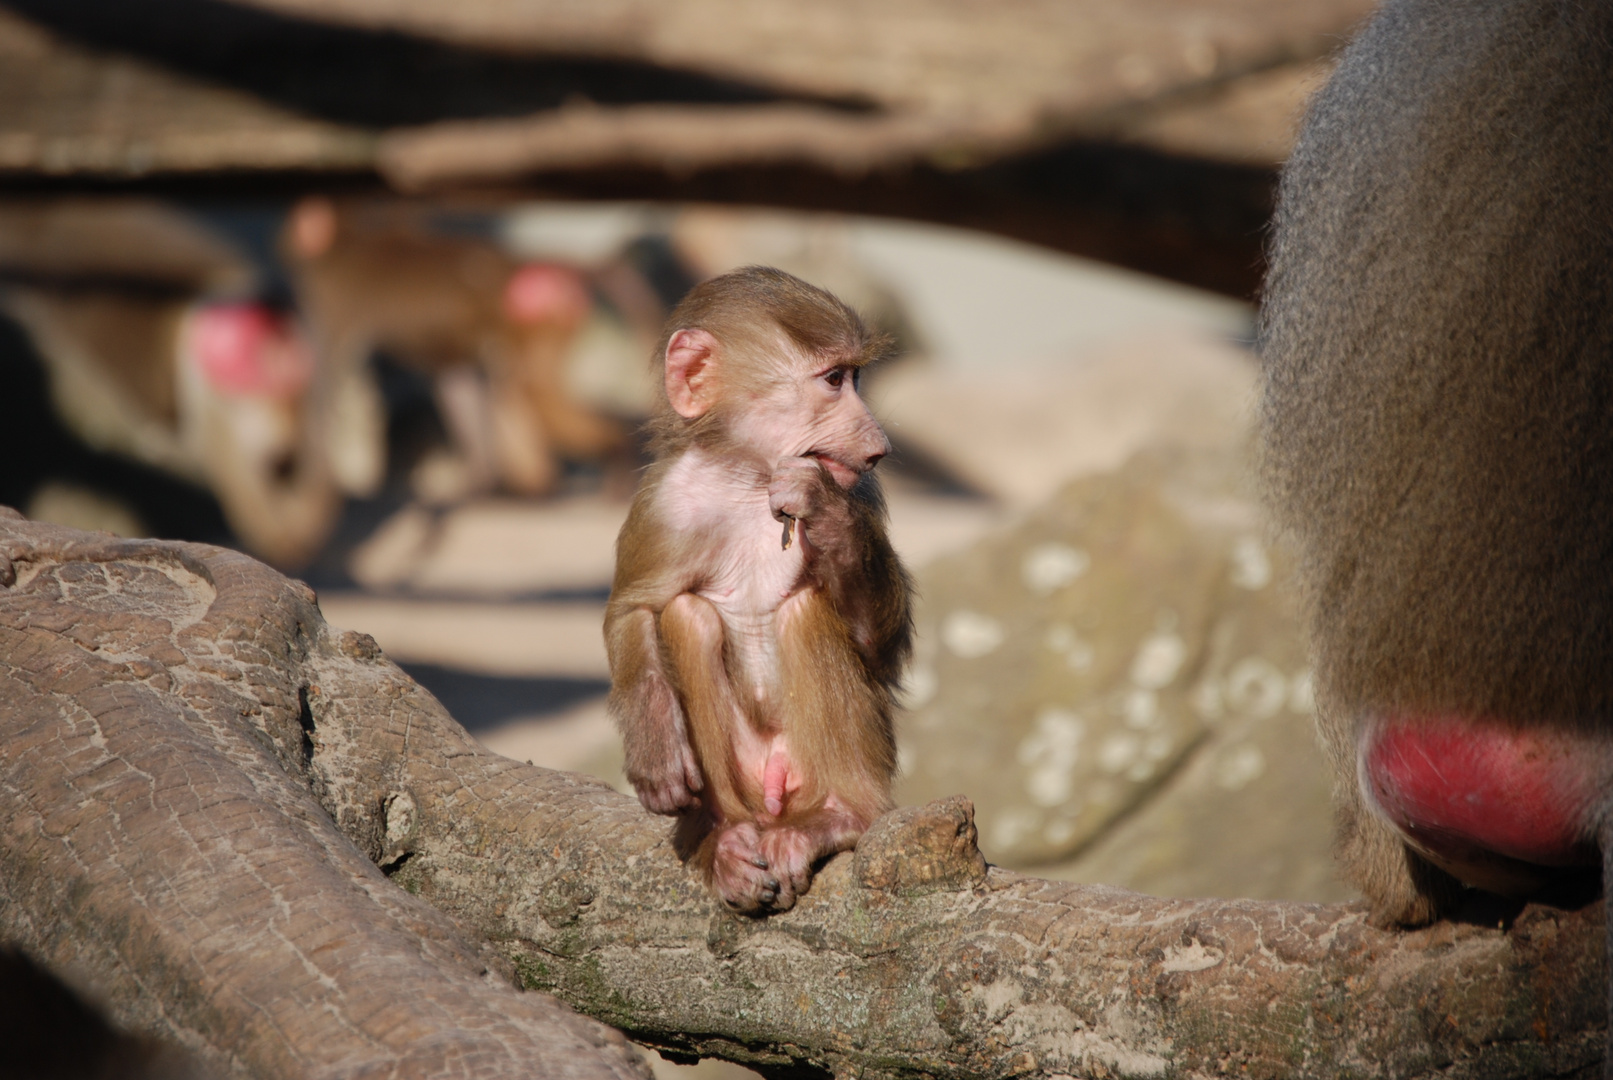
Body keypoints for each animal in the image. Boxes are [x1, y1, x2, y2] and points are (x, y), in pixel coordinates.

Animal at [606, 264, 916, 915]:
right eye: (833, 380)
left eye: (854, 378)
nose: (878, 443)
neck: (749, 478)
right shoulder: (663, 503)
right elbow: (632, 610)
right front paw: (654, 745)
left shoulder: (860, 490)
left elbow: (882, 651)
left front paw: (825, 513)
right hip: (743, 780)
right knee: (688, 616)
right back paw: (723, 838)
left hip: (816, 773)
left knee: (805, 609)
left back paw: (839, 818)